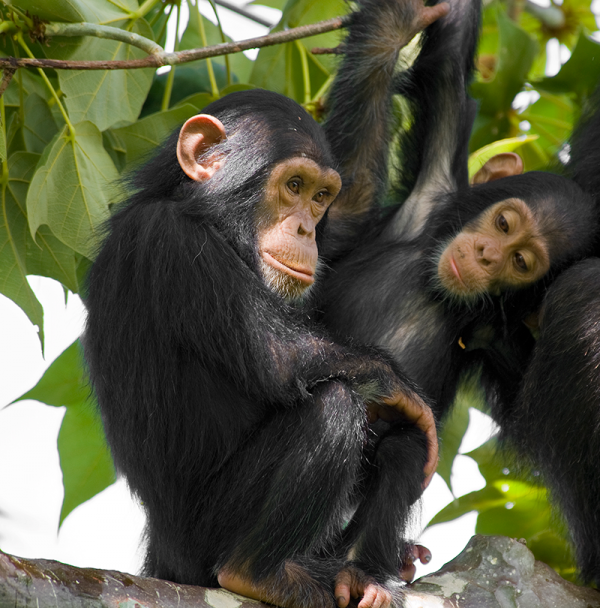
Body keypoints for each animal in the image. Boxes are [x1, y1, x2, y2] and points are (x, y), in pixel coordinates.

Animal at [82, 77, 448, 608]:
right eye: (293, 186)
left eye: (321, 196)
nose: (305, 228)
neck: (207, 217)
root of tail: (162, 556)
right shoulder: (173, 242)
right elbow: (280, 357)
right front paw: (406, 394)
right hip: (206, 537)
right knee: (332, 406)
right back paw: (258, 574)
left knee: (397, 446)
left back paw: (367, 574)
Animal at [316, 0, 600, 584]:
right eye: (504, 222)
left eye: (521, 261)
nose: (489, 256)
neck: (436, 286)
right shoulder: (431, 188)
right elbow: (442, 74)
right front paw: (405, 23)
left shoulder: (502, 331)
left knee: (404, 450)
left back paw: (361, 573)